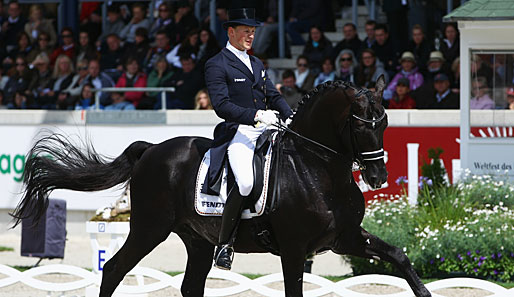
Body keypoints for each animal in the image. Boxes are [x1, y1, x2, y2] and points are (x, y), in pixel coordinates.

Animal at [11, 75, 428, 294]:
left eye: (384, 121)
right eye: (360, 124)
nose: (377, 177)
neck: (319, 170)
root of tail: (151, 150)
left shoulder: (344, 237)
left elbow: (398, 255)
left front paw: (422, 290)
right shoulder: (295, 250)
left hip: (196, 239)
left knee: (189, 285)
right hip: (149, 228)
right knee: (113, 269)